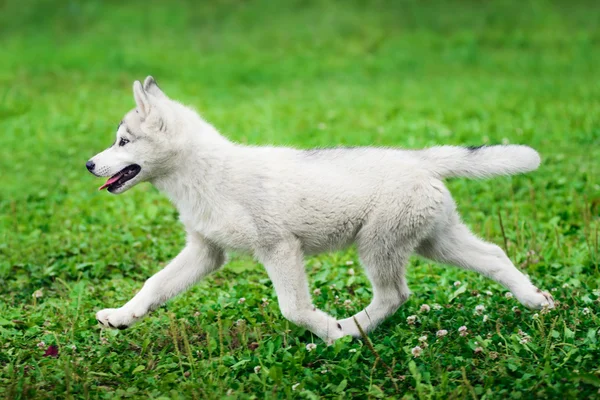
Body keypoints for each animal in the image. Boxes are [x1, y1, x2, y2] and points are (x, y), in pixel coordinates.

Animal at [86, 76, 556, 342]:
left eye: (123, 142)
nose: (89, 164)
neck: (203, 177)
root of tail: (420, 159)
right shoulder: (206, 251)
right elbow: (155, 285)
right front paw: (122, 317)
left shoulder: (279, 248)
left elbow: (294, 309)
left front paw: (330, 333)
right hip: (433, 241)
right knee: (493, 256)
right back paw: (536, 301)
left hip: (378, 246)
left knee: (394, 295)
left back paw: (351, 329)